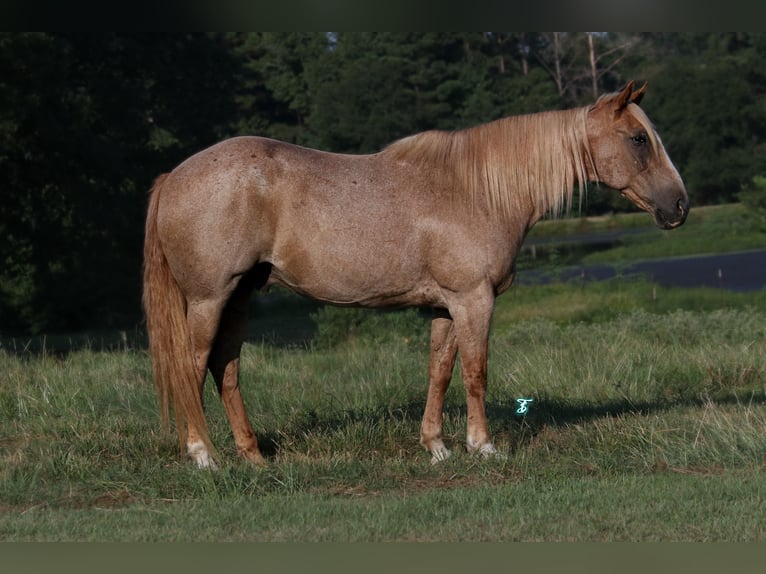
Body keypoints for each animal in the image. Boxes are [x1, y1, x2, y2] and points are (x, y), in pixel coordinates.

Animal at [142, 81, 688, 468]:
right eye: (639, 138)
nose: (679, 205)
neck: (477, 190)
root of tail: (173, 176)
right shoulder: (473, 299)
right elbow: (475, 372)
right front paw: (482, 446)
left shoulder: (444, 305)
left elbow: (440, 372)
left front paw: (437, 446)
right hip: (210, 299)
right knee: (192, 367)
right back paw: (204, 456)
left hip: (240, 297)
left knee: (226, 369)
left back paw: (253, 456)